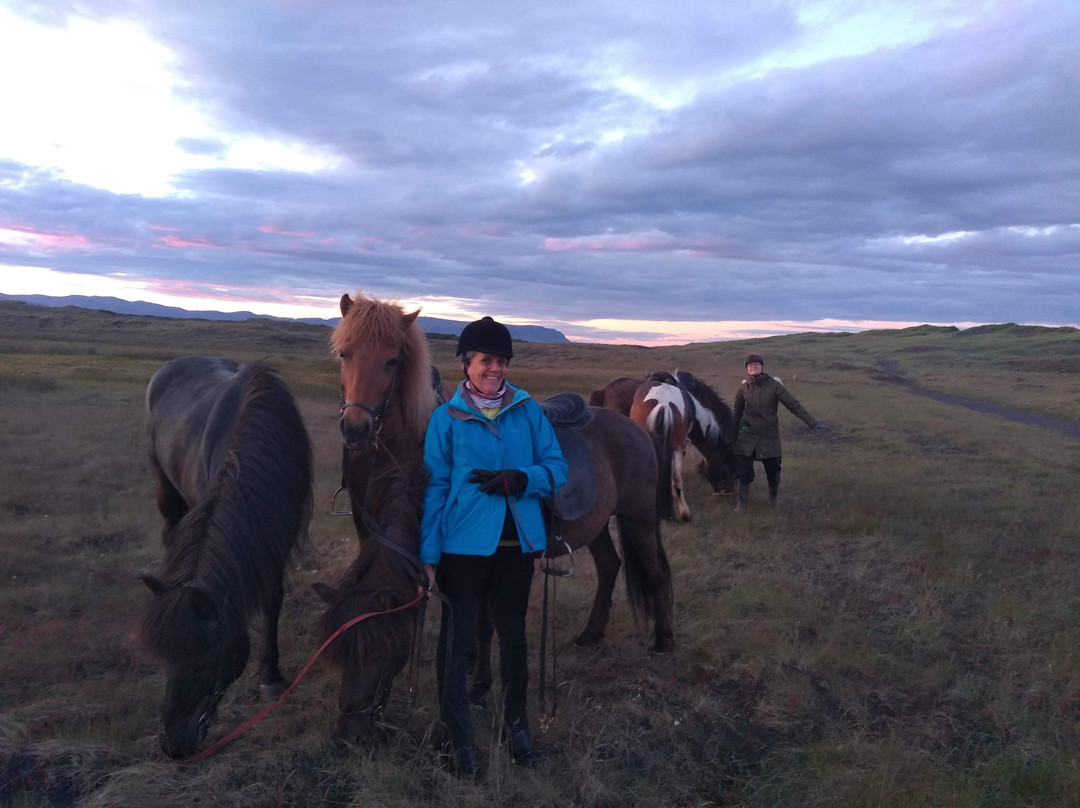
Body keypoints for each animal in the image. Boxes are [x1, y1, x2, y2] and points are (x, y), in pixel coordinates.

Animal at [139, 355, 313, 759]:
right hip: (165, 487)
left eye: (205, 661)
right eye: (165, 659)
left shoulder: (275, 539)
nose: (172, 745)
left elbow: (272, 599)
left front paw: (271, 676)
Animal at [318, 292, 674, 744]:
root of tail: (636, 427)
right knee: (611, 566)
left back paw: (664, 641)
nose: (350, 731)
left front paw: (477, 685)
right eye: (345, 353)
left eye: (392, 361)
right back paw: (591, 634)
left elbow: (480, 623)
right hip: (597, 524)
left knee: (655, 571)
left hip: (639, 517)